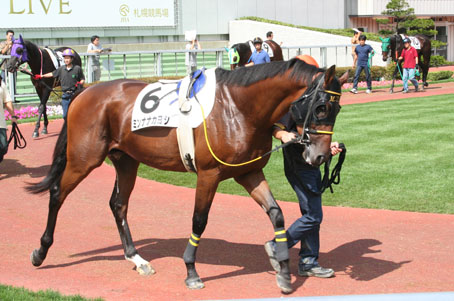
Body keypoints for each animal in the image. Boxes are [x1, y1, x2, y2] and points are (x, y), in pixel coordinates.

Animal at [27, 59, 348, 292]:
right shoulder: (209, 174)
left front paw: (282, 269)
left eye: (338, 108)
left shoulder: (249, 172)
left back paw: (136, 258)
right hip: (84, 158)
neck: (237, 108)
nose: (320, 156)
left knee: (118, 204)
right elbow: (199, 221)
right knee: (57, 193)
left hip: (126, 160)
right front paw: (191, 271)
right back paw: (41, 251)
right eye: (321, 107)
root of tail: (84, 93)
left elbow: (277, 213)